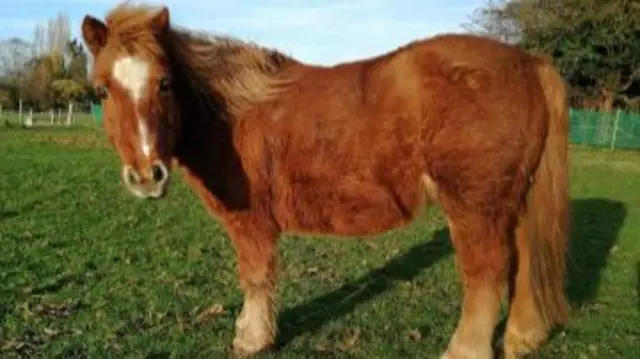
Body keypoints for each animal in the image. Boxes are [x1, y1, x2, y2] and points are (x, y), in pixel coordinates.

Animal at [79, 3, 568, 359]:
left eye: (164, 83)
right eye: (102, 89)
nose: (147, 176)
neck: (234, 113)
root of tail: (530, 63)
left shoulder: (251, 224)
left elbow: (255, 278)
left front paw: (251, 339)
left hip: (475, 207)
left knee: (487, 274)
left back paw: (464, 350)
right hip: (512, 200)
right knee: (523, 258)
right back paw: (523, 337)